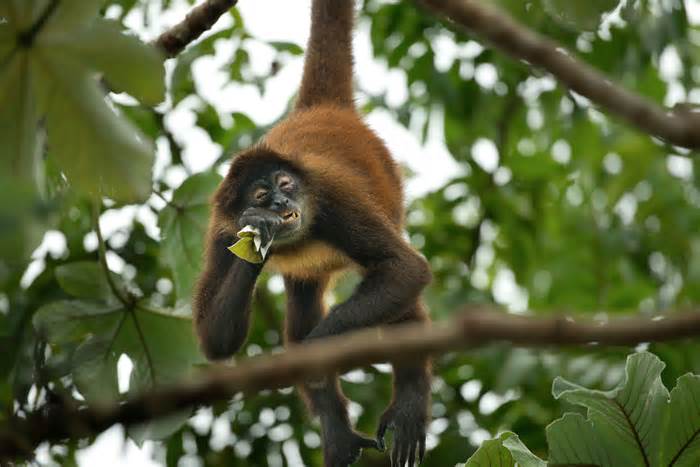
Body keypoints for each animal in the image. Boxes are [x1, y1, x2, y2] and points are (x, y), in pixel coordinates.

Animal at [193, 1, 432, 466]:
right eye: (261, 194)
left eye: (285, 185)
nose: (280, 205)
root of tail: (321, 109)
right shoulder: (221, 229)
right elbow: (216, 340)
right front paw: (259, 234)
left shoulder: (330, 196)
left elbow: (405, 269)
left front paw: (313, 353)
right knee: (303, 299)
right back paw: (336, 431)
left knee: (400, 287)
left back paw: (409, 404)